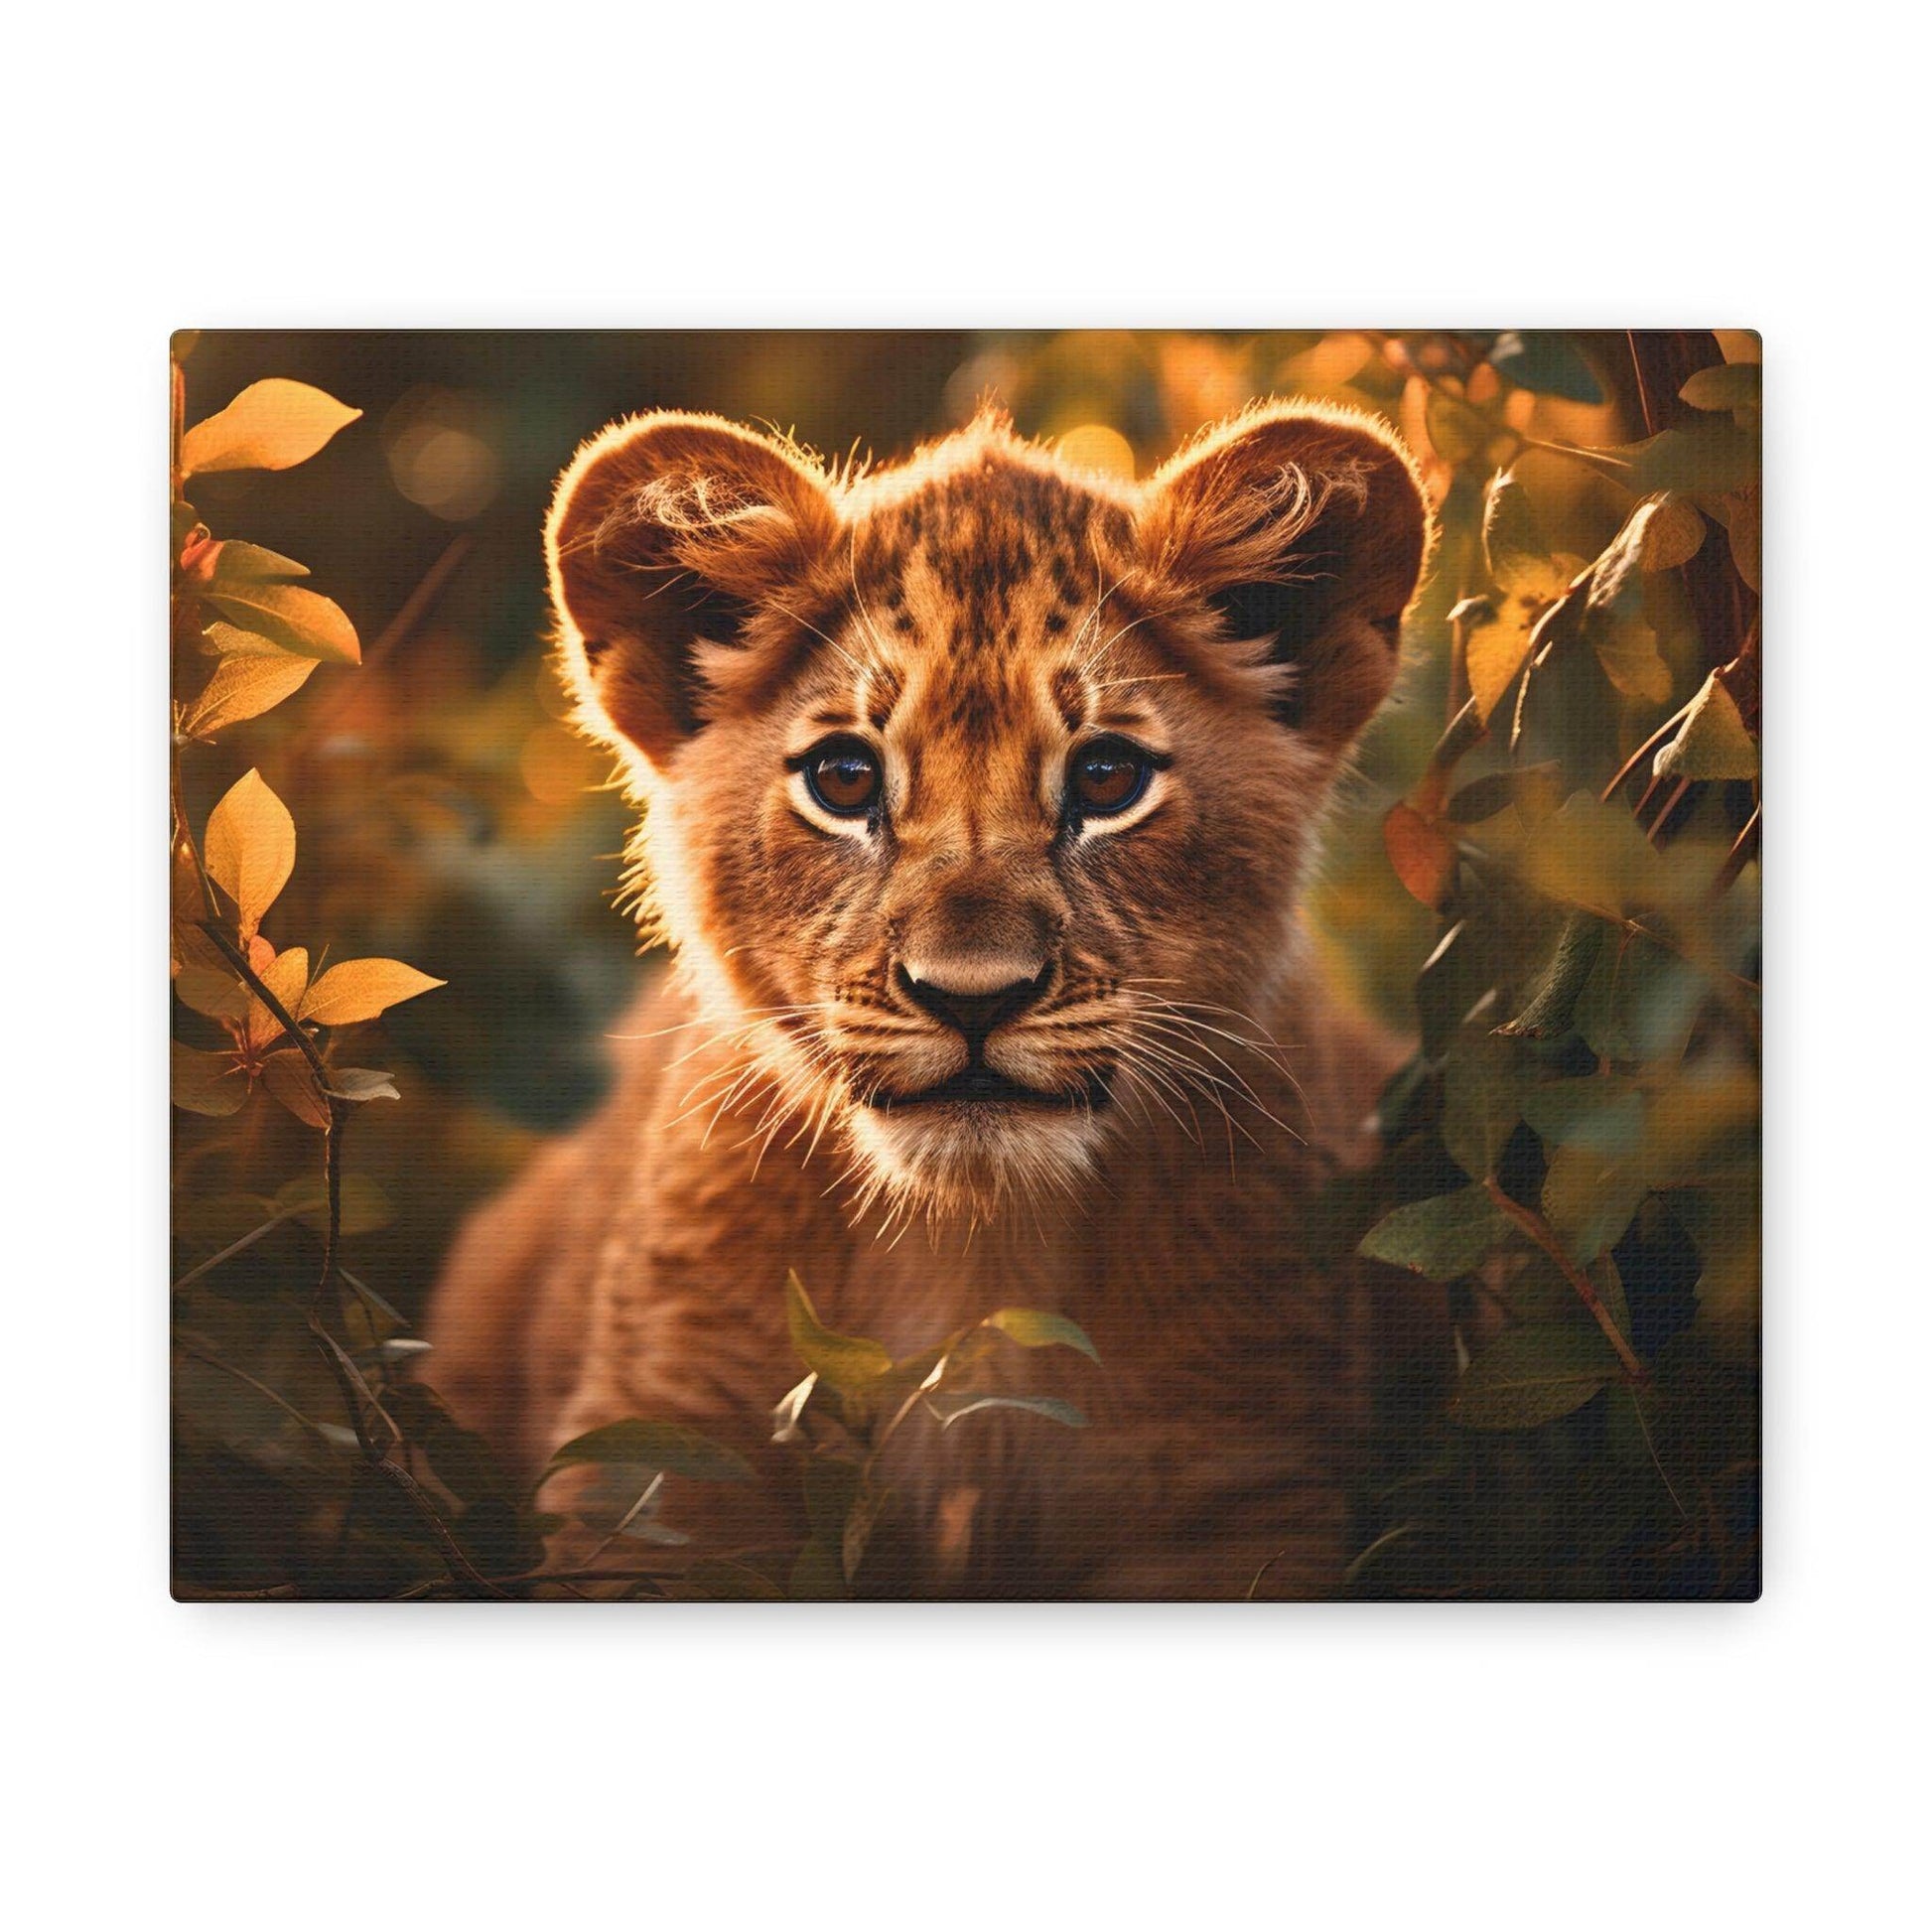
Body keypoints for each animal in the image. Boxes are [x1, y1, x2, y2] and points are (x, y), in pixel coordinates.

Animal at [424, 397, 1437, 1597]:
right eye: (844, 779)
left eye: (1106, 779)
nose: (973, 998)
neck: (975, 1253)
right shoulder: (661, 1468)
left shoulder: (1236, 1490)